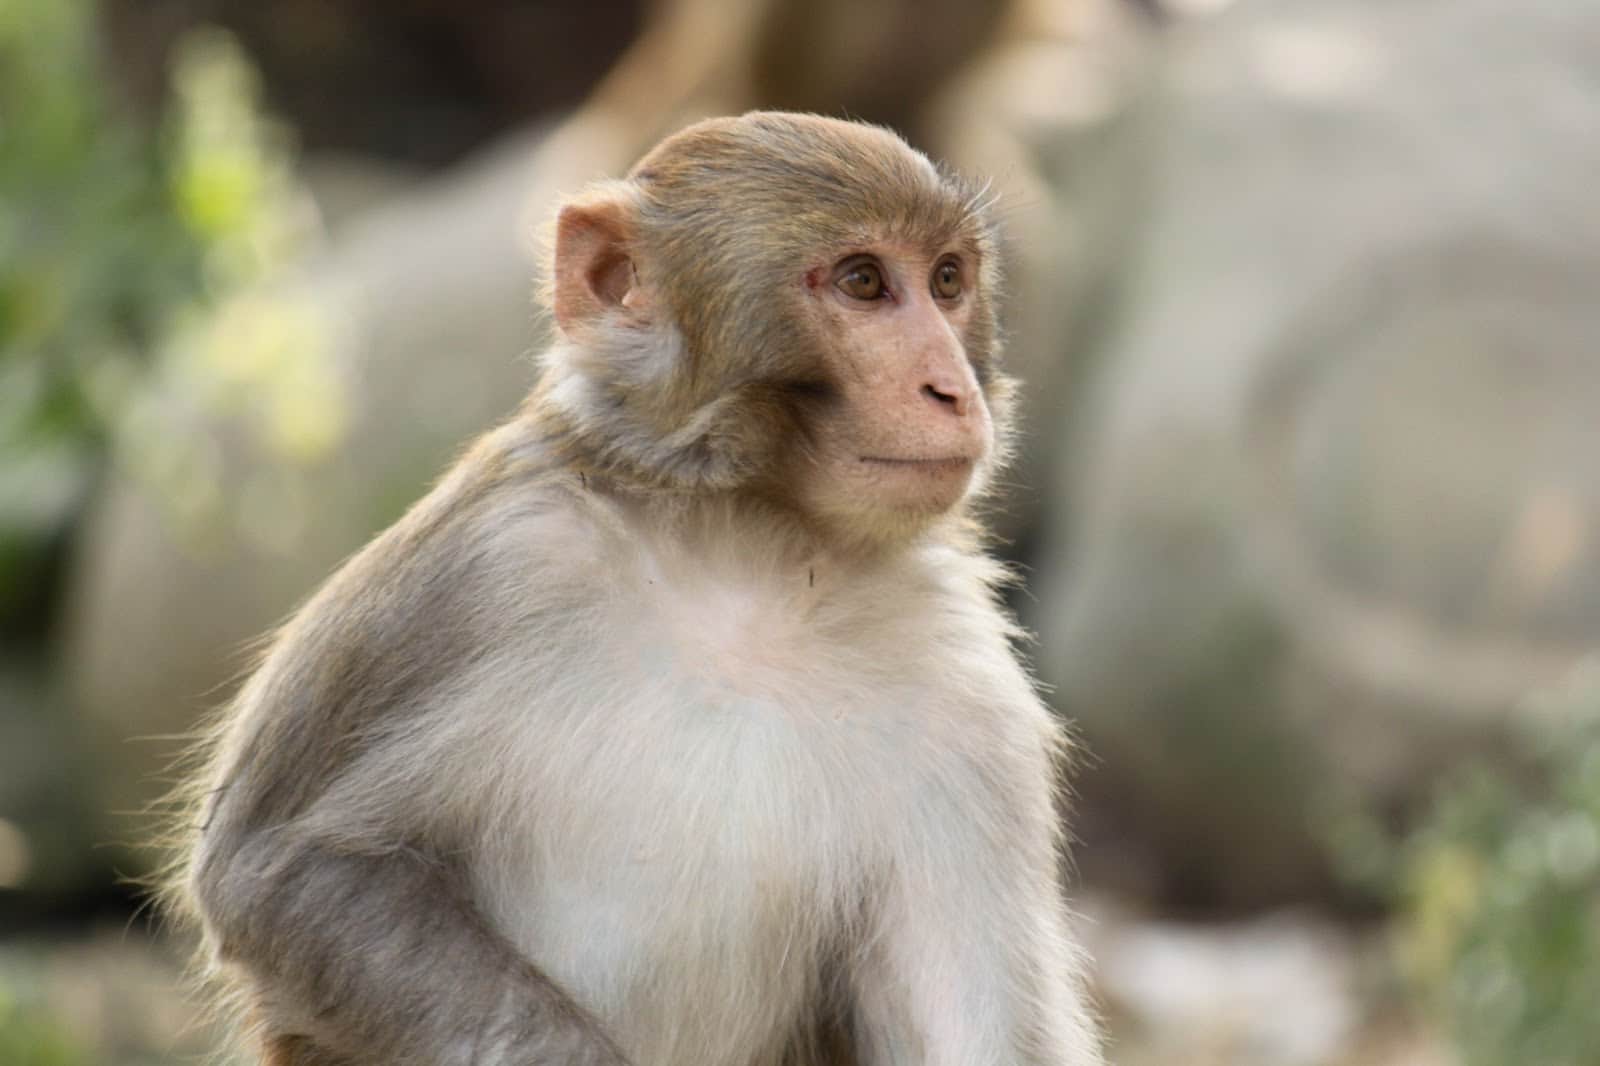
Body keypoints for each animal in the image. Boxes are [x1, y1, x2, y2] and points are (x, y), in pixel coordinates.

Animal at [176, 111, 1104, 1066]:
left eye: (948, 280)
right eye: (863, 283)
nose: (951, 389)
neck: (751, 552)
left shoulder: (966, 691)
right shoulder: (482, 568)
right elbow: (280, 870)